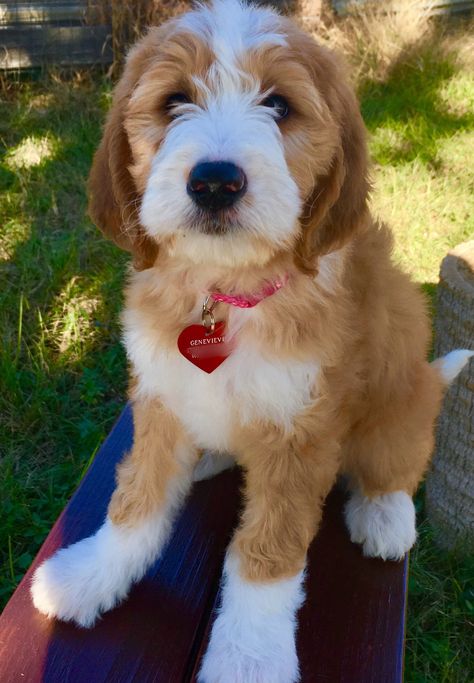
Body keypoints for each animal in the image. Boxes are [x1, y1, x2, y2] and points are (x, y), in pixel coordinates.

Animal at [31, 2, 472, 680]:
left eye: (280, 105)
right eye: (174, 101)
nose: (215, 182)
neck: (225, 292)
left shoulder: (300, 430)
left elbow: (267, 553)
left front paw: (248, 656)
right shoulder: (161, 395)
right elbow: (135, 501)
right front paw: (90, 576)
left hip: (399, 401)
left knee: (393, 462)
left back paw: (385, 515)